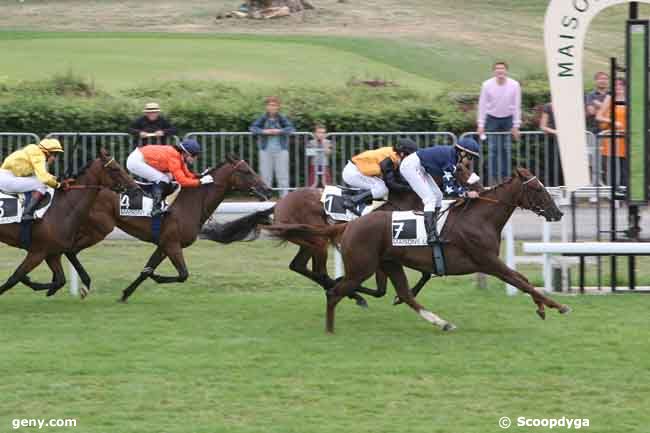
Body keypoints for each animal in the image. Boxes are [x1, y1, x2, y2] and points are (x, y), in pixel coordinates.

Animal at [0, 150, 137, 296]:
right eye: (115, 169)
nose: (136, 189)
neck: (63, 207)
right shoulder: (37, 252)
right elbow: (15, 277)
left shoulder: (52, 253)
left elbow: (60, 280)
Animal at [22, 155, 270, 300]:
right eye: (246, 171)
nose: (266, 189)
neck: (191, 202)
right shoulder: (172, 244)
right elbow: (182, 274)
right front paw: (158, 278)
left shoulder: (164, 244)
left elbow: (146, 270)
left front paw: (126, 293)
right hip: (99, 228)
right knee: (70, 249)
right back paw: (71, 284)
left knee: (66, 249)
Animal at [264, 167, 568, 332]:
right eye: (538, 189)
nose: (558, 213)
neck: (478, 217)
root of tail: (350, 225)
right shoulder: (488, 261)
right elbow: (521, 281)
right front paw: (557, 305)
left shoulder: (488, 262)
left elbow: (523, 280)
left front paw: (543, 307)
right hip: (356, 263)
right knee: (333, 288)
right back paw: (333, 322)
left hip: (385, 262)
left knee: (403, 294)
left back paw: (441, 322)